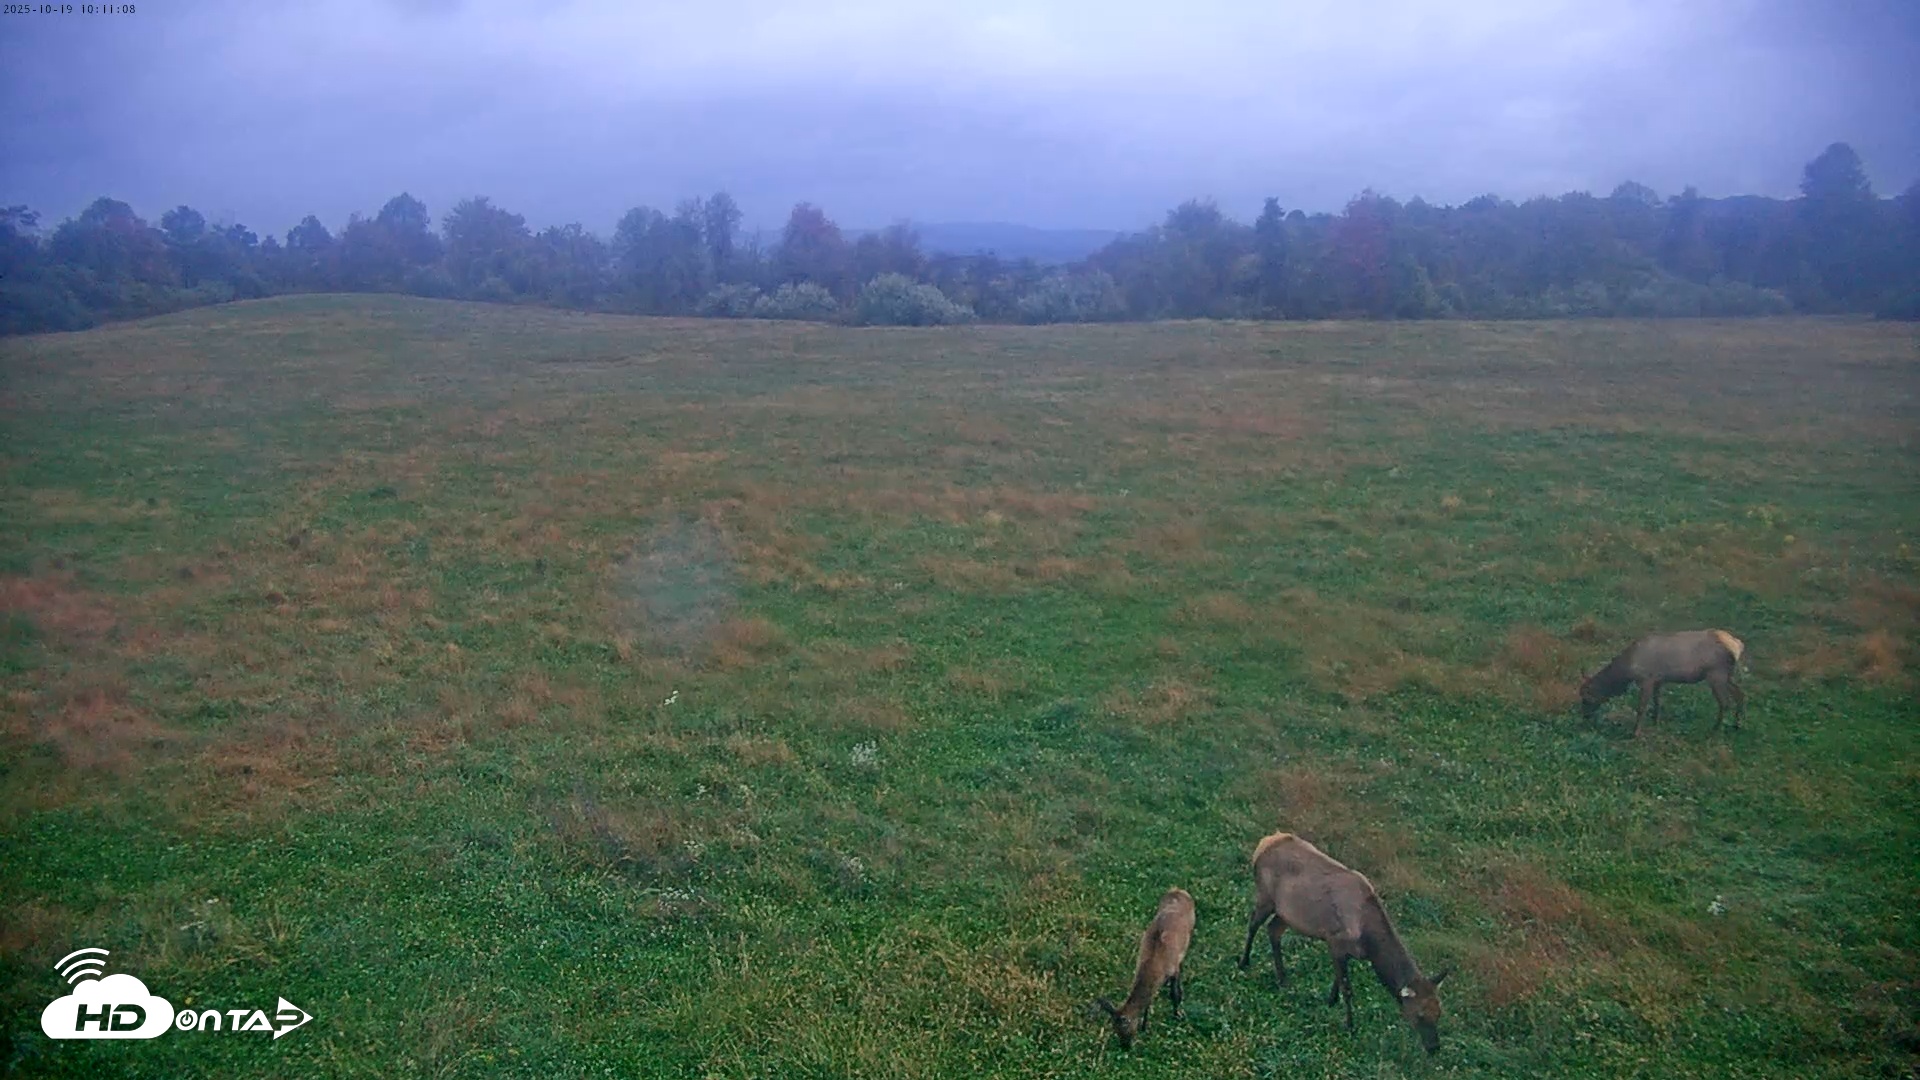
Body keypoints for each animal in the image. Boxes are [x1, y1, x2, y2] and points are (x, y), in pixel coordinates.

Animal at [1096, 887, 1195, 1050]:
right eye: (1115, 1030)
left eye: (1125, 1030)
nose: (1125, 1047)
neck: (1154, 964)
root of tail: (1179, 890)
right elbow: (1149, 1001)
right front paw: (1145, 1026)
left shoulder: (1173, 968)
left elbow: (1174, 994)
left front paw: (1177, 1014)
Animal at [1239, 832, 1450, 1053]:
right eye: (1419, 1015)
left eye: (1439, 1012)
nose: (1434, 1047)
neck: (1368, 943)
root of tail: (1264, 843)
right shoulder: (1335, 941)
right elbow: (1347, 987)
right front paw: (1349, 1025)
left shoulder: (1344, 951)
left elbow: (1338, 979)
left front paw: (1331, 1001)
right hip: (1265, 896)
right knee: (1253, 924)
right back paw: (1244, 962)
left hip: (1287, 914)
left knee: (1273, 931)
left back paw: (1283, 979)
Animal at [1579, 629, 1746, 736]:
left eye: (1585, 698)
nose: (1584, 716)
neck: (1627, 670)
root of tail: (1738, 645)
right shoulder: (1658, 680)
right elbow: (1657, 702)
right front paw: (1655, 722)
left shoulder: (1647, 679)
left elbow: (1641, 707)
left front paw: (1635, 732)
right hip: (1727, 675)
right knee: (1740, 694)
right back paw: (1737, 724)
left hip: (1716, 674)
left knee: (1725, 702)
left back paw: (1715, 730)